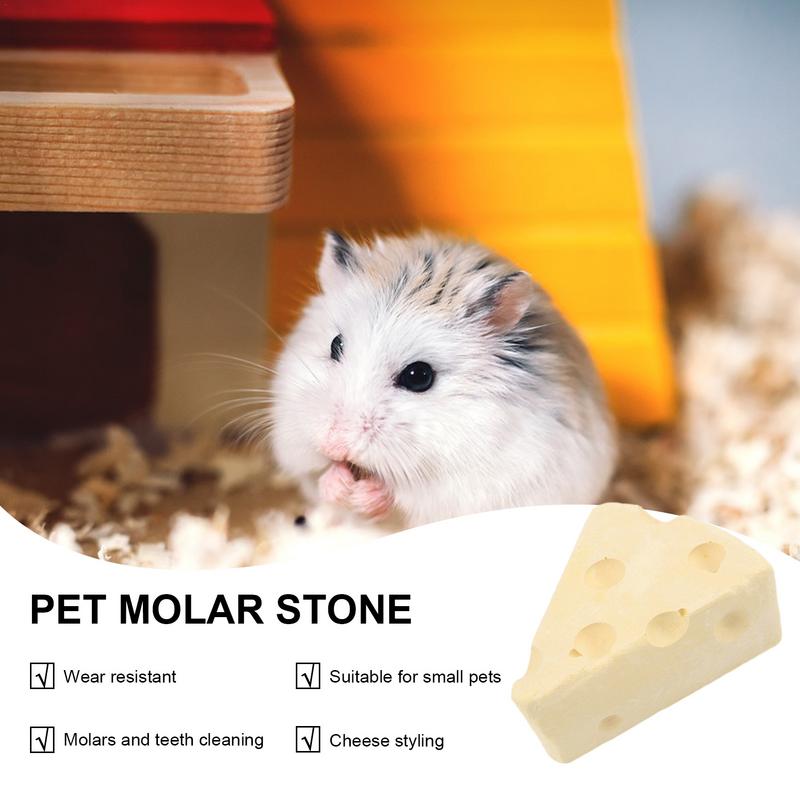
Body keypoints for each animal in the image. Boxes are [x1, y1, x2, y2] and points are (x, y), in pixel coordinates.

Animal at [270, 230, 617, 528]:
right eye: (335, 345)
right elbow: (318, 474)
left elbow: (405, 495)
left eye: (419, 376)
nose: (334, 444)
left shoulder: (469, 481)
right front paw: (340, 483)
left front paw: (368, 495)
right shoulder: (294, 443)